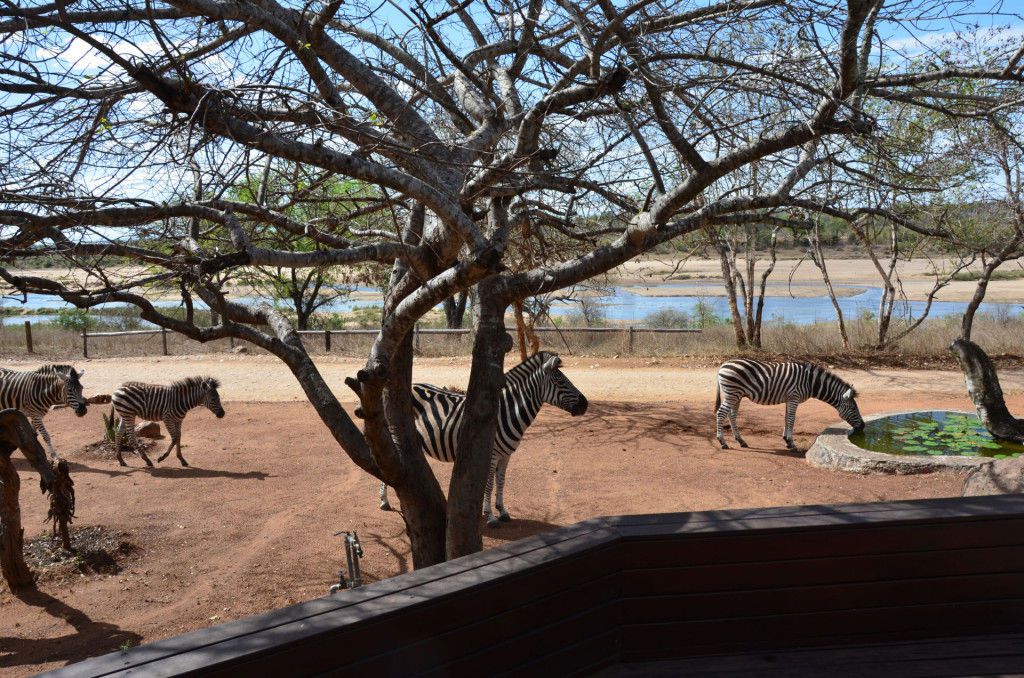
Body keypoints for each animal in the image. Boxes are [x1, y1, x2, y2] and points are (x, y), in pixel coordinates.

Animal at [380, 350, 589, 532]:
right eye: (561, 380)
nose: (585, 404)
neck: (506, 412)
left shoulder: (506, 455)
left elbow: (501, 481)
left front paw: (502, 511)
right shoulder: (492, 454)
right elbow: (488, 484)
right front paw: (490, 516)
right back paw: (384, 501)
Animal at [716, 358, 868, 454]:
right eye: (853, 408)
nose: (863, 426)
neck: (811, 382)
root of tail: (723, 365)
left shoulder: (789, 399)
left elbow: (786, 418)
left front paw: (786, 441)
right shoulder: (794, 397)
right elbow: (791, 419)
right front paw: (792, 443)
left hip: (737, 395)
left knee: (732, 415)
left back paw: (741, 441)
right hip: (732, 393)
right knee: (721, 413)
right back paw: (723, 442)